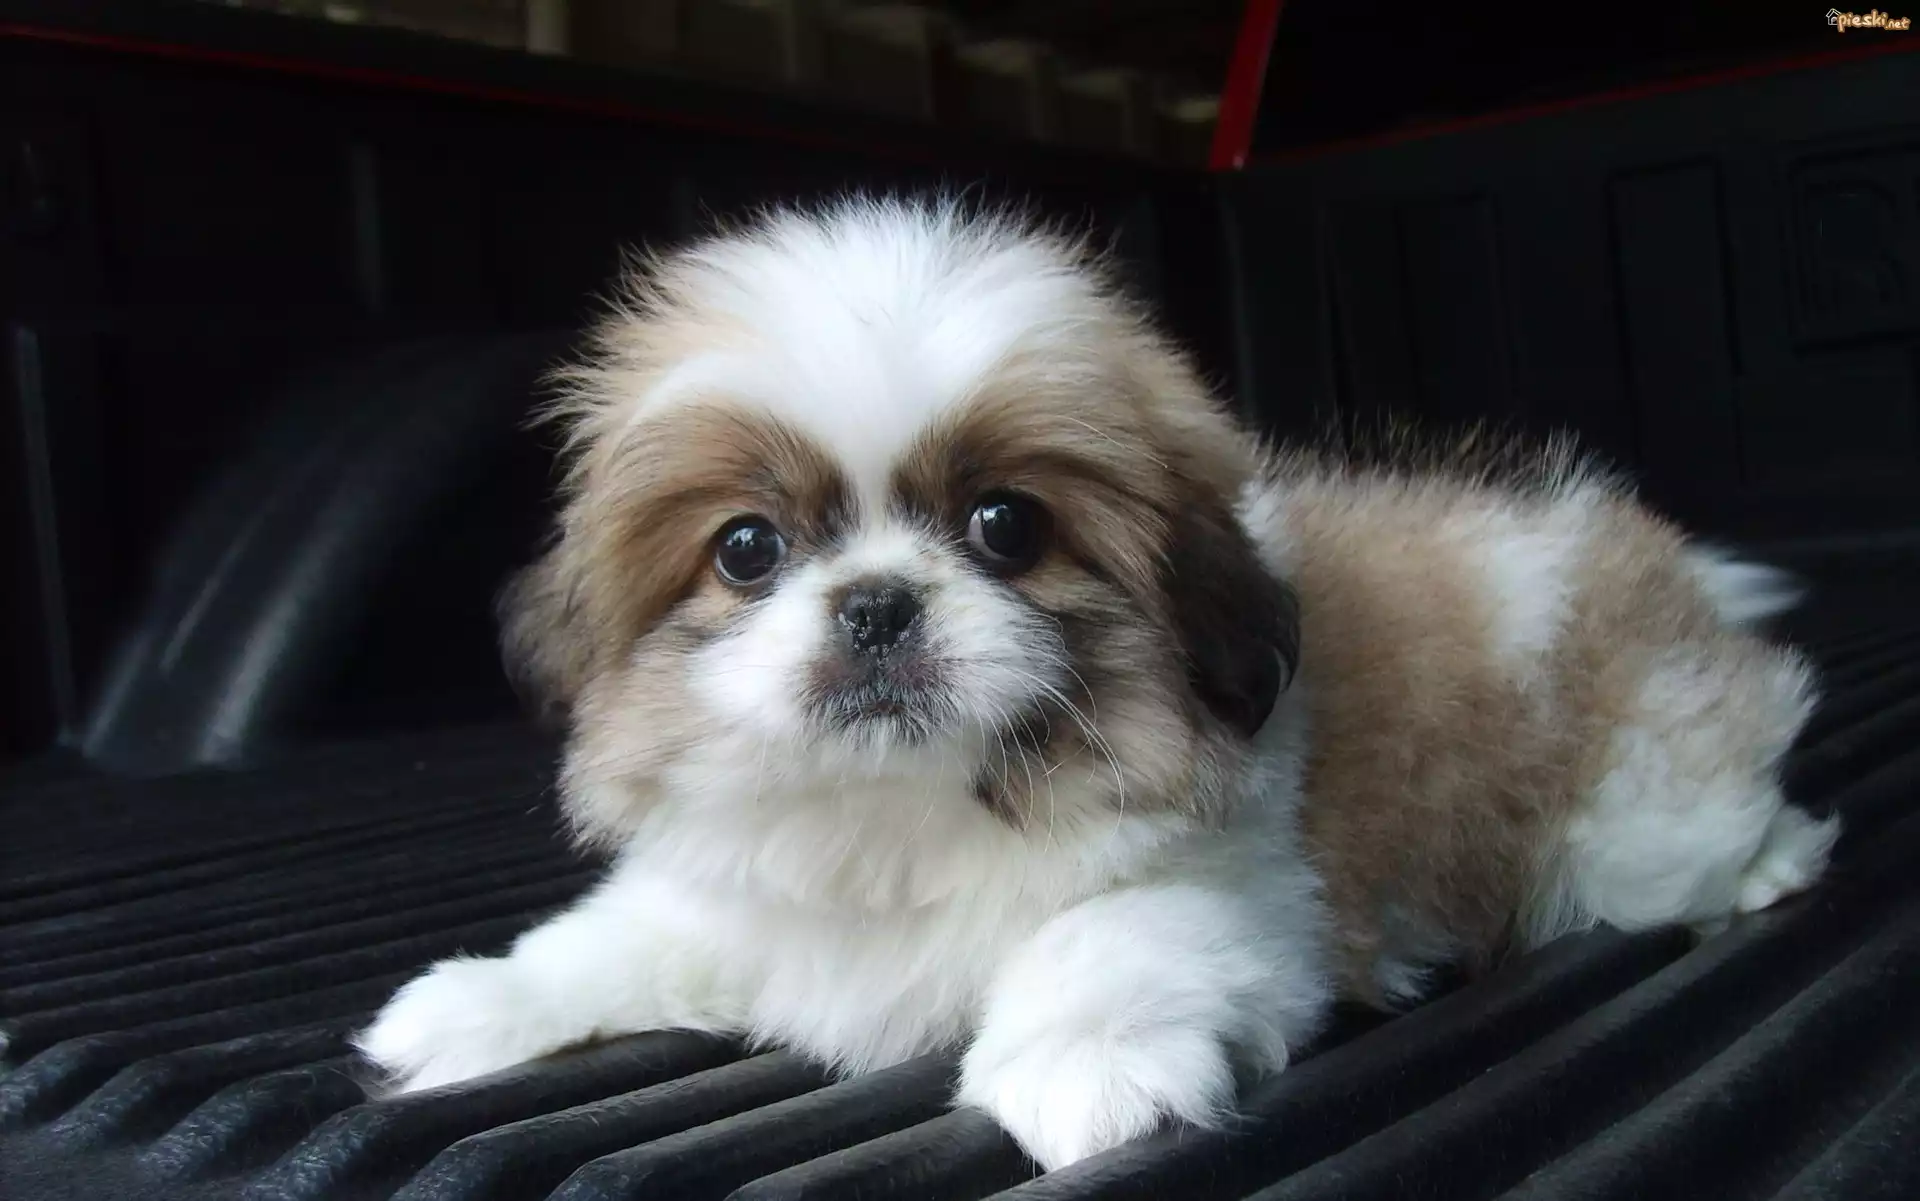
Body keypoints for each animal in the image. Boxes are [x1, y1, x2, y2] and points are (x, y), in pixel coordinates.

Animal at [355, 197, 1837, 1171]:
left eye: (1007, 526)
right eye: (747, 549)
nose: (877, 601)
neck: (896, 816)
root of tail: (1637, 552)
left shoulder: (1234, 890)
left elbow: (1106, 938)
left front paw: (1083, 1068)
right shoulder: (735, 893)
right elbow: (616, 936)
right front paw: (479, 1002)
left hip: (1642, 813)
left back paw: (1773, 862)